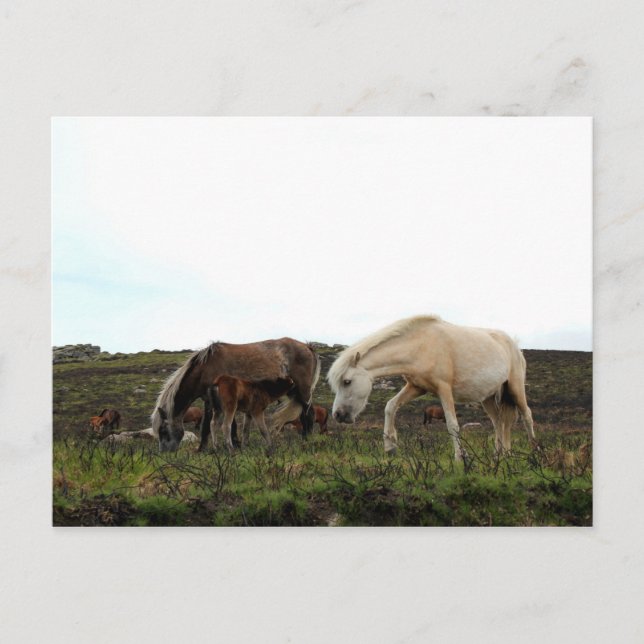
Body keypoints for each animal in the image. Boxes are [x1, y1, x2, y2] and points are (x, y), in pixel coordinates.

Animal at [151, 338, 321, 452]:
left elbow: (218, 425)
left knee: (309, 414)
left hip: (303, 392)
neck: (206, 367)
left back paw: (307, 440)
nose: (164, 453)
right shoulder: (211, 401)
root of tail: (307, 346)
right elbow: (211, 425)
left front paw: (231, 445)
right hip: (295, 392)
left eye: (163, 431)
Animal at [327, 315, 535, 460]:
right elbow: (390, 406)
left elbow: (452, 425)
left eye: (347, 381)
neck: (421, 344)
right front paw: (390, 446)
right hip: (488, 398)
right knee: (498, 422)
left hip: (515, 388)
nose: (337, 415)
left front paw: (461, 458)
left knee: (527, 415)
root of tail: (514, 345)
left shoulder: (444, 389)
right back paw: (499, 456)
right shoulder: (416, 387)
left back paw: (535, 452)